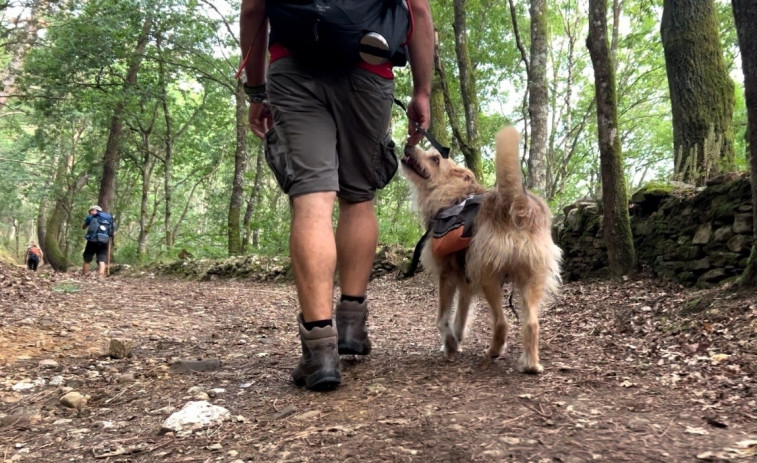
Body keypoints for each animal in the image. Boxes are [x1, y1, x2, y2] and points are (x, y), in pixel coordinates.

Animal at [402, 126, 560, 374]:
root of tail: (516, 202)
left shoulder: (447, 275)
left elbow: (443, 318)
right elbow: (460, 317)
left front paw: (449, 345)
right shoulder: (465, 283)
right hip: (531, 279)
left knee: (502, 322)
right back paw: (531, 364)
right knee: (531, 324)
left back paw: (494, 352)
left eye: (435, 159)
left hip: (488, 276)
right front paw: (455, 341)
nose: (408, 145)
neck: (452, 196)